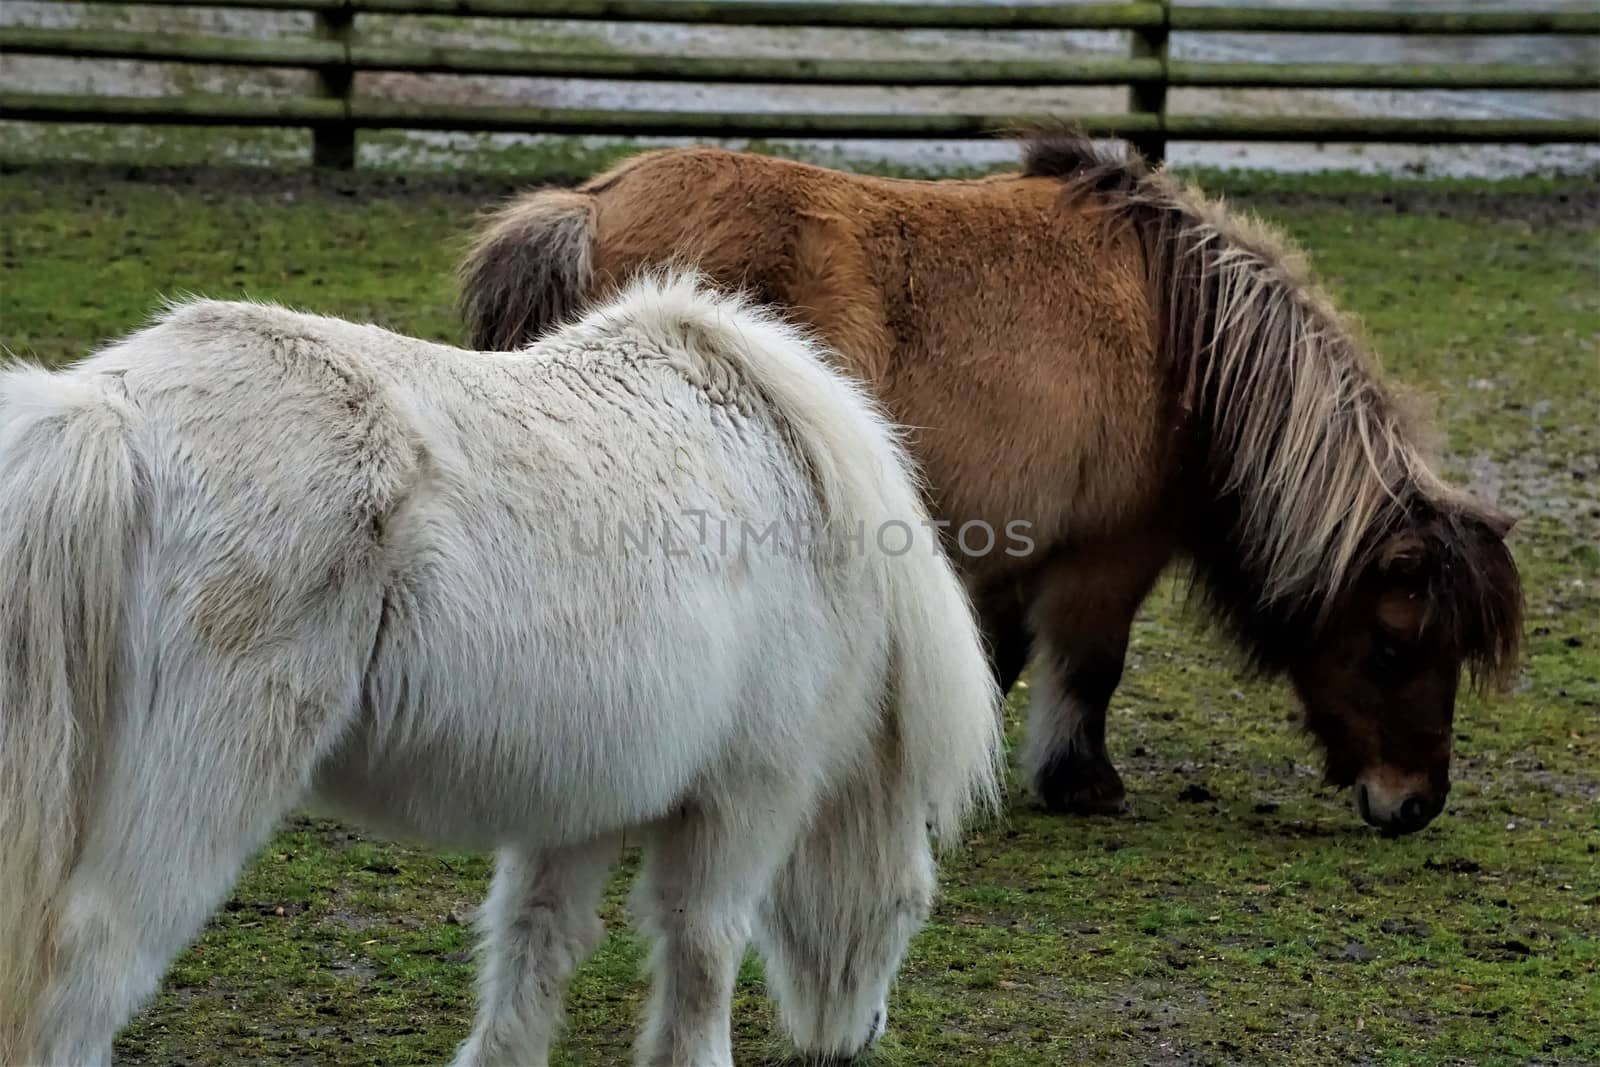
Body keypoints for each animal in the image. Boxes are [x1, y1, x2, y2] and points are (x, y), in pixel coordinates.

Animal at [0, 278, 998, 1067]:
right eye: (915, 906)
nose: (865, 1034)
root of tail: (108, 416)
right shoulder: (748, 794)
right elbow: (705, 944)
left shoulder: (583, 802)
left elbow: (534, 943)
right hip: (196, 793)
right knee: (87, 973)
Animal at [457, 135, 1516, 831]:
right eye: (1394, 647)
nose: (1416, 803)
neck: (1190, 339)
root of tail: (591, 206)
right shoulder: (1107, 551)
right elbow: (1089, 665)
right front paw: (1082, 784)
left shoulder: (1008, 544)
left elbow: (995, 658)